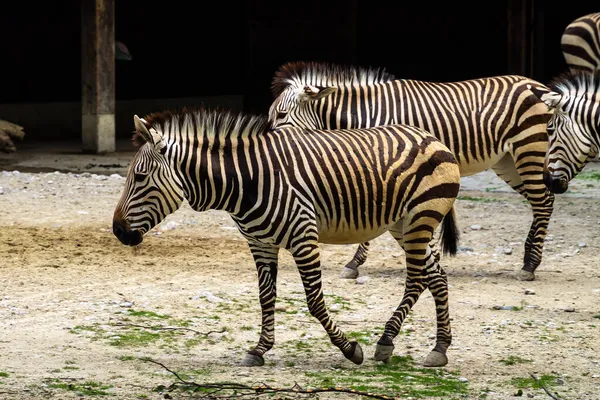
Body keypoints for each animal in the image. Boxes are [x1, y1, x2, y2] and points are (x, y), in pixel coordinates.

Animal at [111, 108, 460, 368]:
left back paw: (386, 341)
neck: (246, 182)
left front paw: (349, 349)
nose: (117, 231)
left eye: (139, 176)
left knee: (416, 279)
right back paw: (440, 348)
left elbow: (315, 301)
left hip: (420, 217)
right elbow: (266, 297)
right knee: (437, 276)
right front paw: (259, 349)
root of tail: (432, 138)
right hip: (403, 224)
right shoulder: (260, 243)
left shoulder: (304, 236)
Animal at [270, 61, 556, 282]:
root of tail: (539, 85)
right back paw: (529, 257)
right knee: (545, 200)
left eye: (281, 114)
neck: (367, 114)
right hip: (507, 161)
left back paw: (530, 266)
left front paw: (355, 263)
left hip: (528, 146)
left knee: (542, 202)